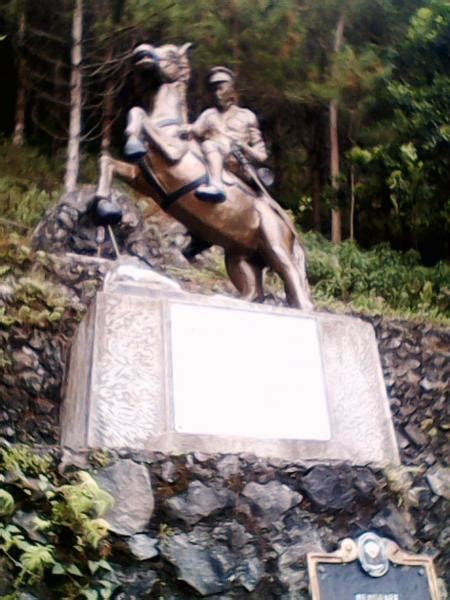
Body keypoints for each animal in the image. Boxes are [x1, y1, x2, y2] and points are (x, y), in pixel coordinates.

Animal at [95, 42, 312, 312]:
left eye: (170, 53)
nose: (141, 51)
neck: (169, 125)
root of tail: (285, 222)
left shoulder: (172, 154)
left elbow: (140, 115)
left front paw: (134, 144)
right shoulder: (144, 181)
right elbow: (109, 160)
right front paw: (104, 207)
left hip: (274, 244)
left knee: (292, 277)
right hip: (239, 256)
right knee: (254, 291)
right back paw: (227, 300)